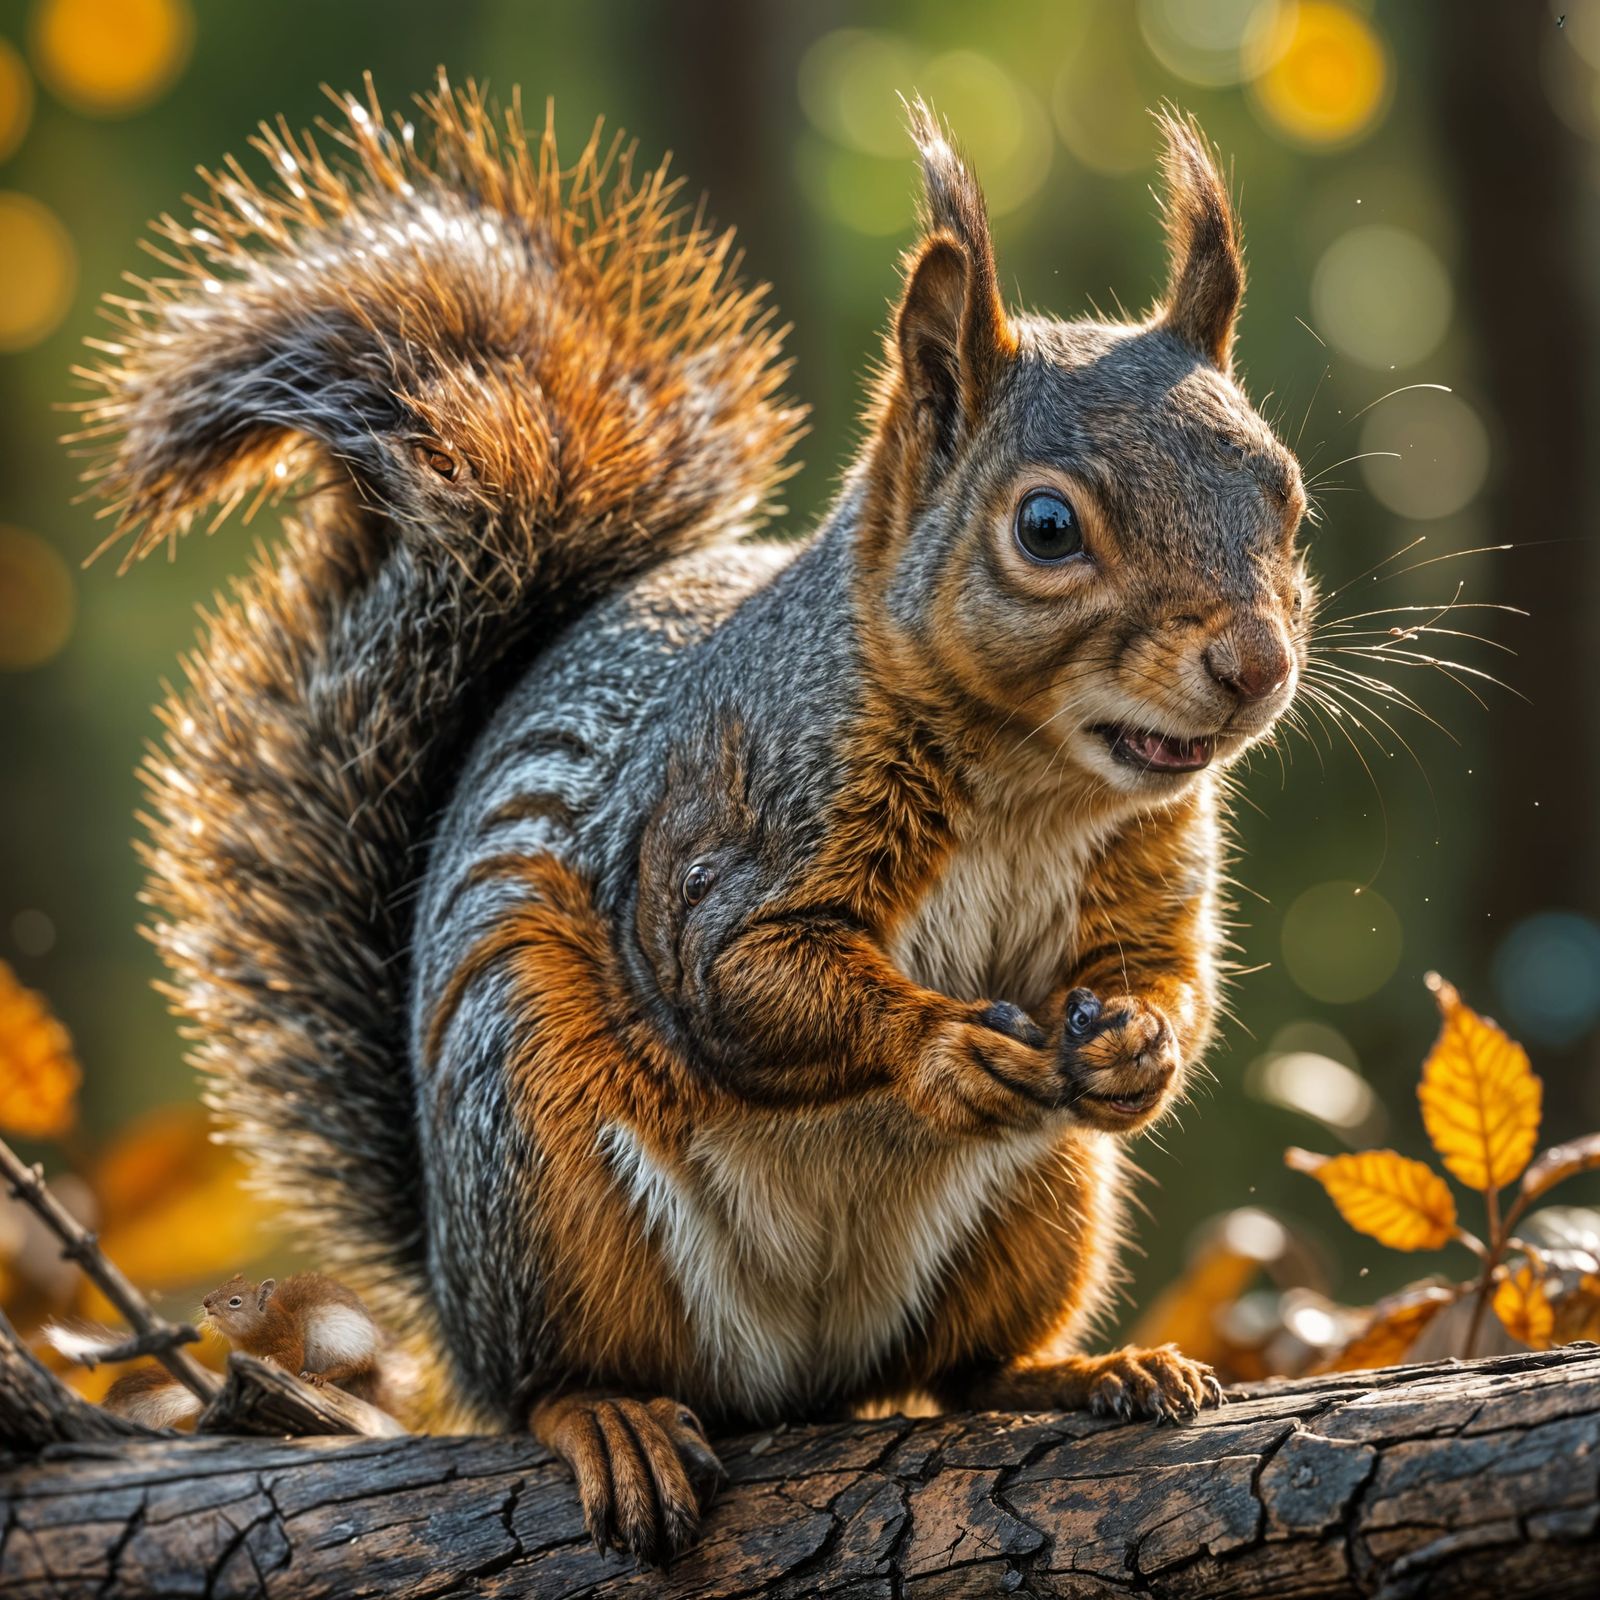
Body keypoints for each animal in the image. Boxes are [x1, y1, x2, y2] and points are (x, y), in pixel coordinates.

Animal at [83, 1272, 384, 1426]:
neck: (254, 1332)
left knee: (349, 1366)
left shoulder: (289, 1341)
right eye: (222, 1285)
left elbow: (290, 1361)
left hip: (342, 1342)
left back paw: (319, 1376)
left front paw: (273, 1362)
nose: (206, 1302)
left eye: (235, 1301)